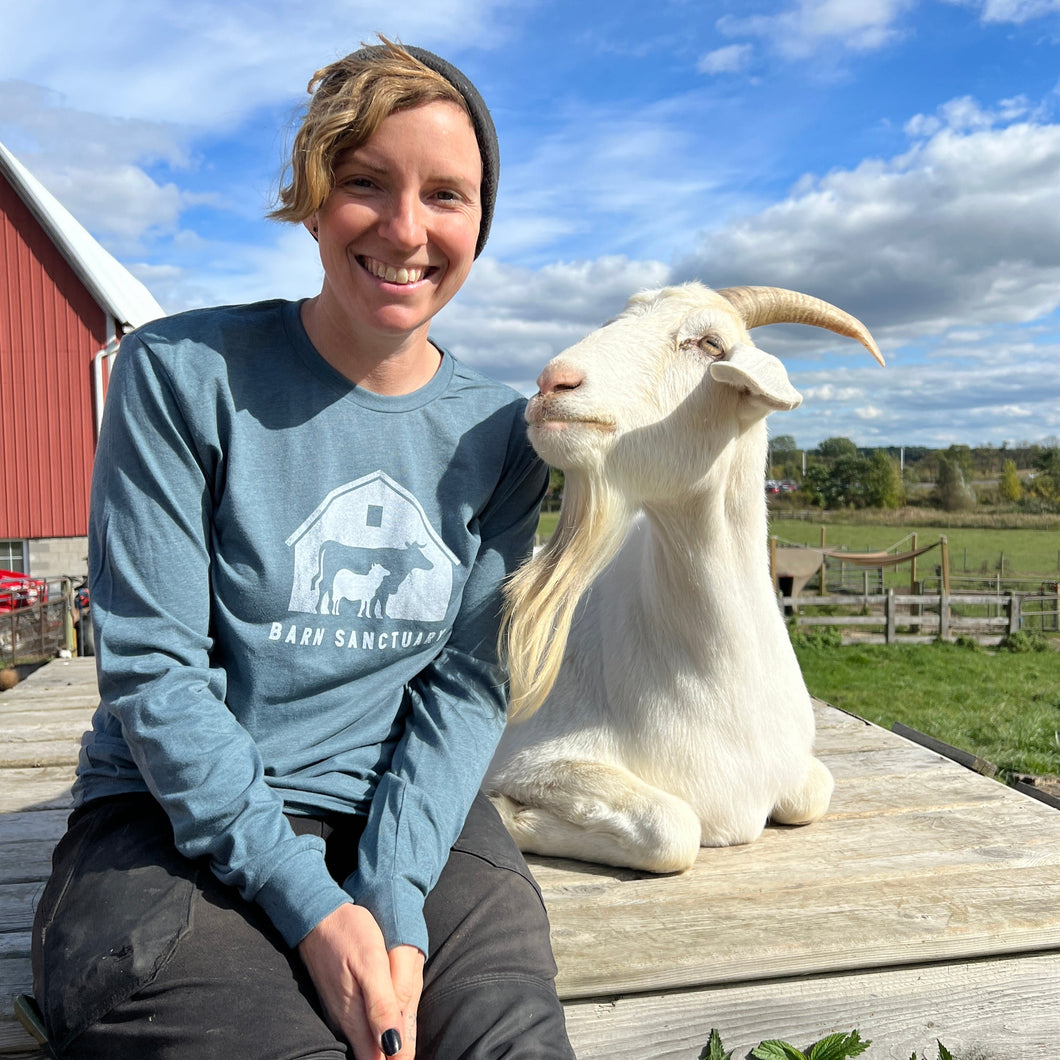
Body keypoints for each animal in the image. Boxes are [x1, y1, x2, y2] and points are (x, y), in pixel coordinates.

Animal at [485, 279, 881, 869]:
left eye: (711, 343)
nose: (553, 382)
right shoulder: (532, 755)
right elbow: (674, 831)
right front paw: (509, 813)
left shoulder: (796, 769)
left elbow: (814, 791)